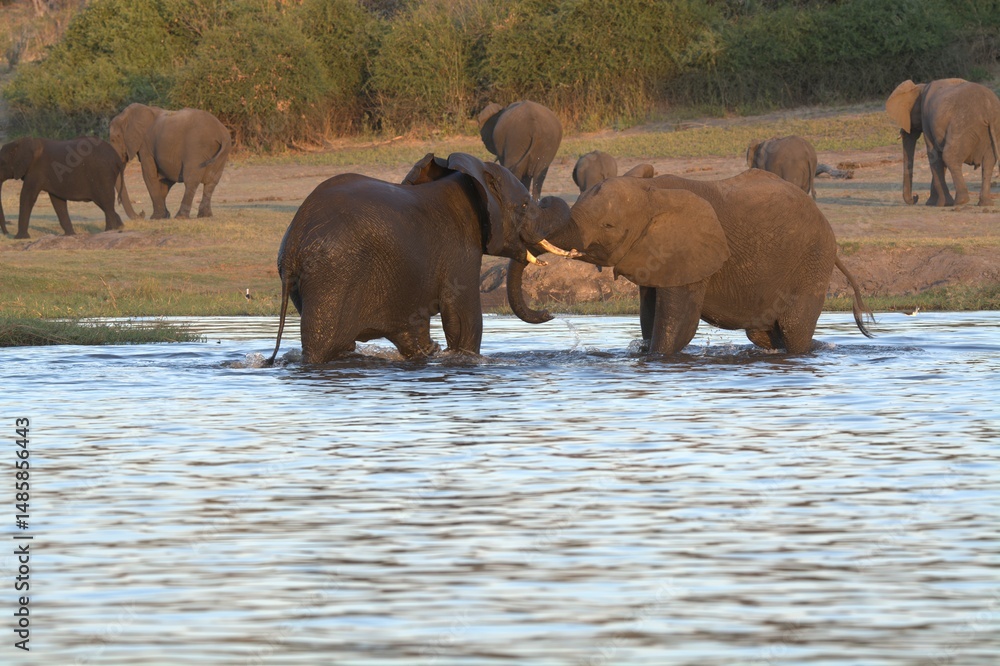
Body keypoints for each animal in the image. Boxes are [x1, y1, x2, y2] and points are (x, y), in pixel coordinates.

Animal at [267, 152, 577, 365]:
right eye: (524, 205)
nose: (549, 313)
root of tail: (294, 243)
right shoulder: (460, 248)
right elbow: (463, 319)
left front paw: (434, 352)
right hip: (333, 275)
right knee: (326, 342)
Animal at [507, 170, 874, 355]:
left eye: (609, 226)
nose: (547, 313)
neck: (651, 189)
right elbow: (650, 317)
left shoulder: (690, 253)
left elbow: (678, 326)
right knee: (766, 335)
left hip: (813, 262)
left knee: (794, 332)